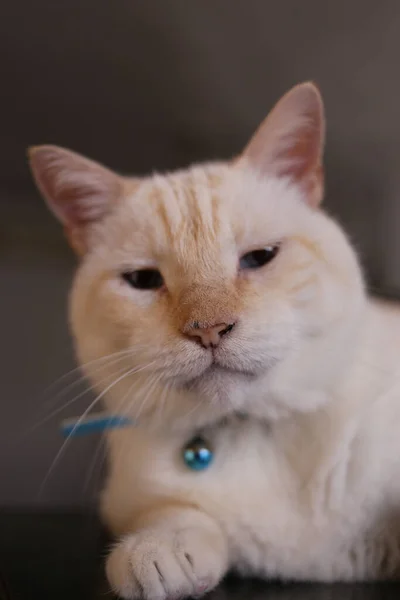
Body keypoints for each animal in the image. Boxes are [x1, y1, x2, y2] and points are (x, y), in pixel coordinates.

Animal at [29, 81, 400, 600]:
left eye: (259, 257)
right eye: (144, 280)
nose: (208, 329)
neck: (251, 432)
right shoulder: (131, 502)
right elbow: (174, 513)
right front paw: (158, 553)